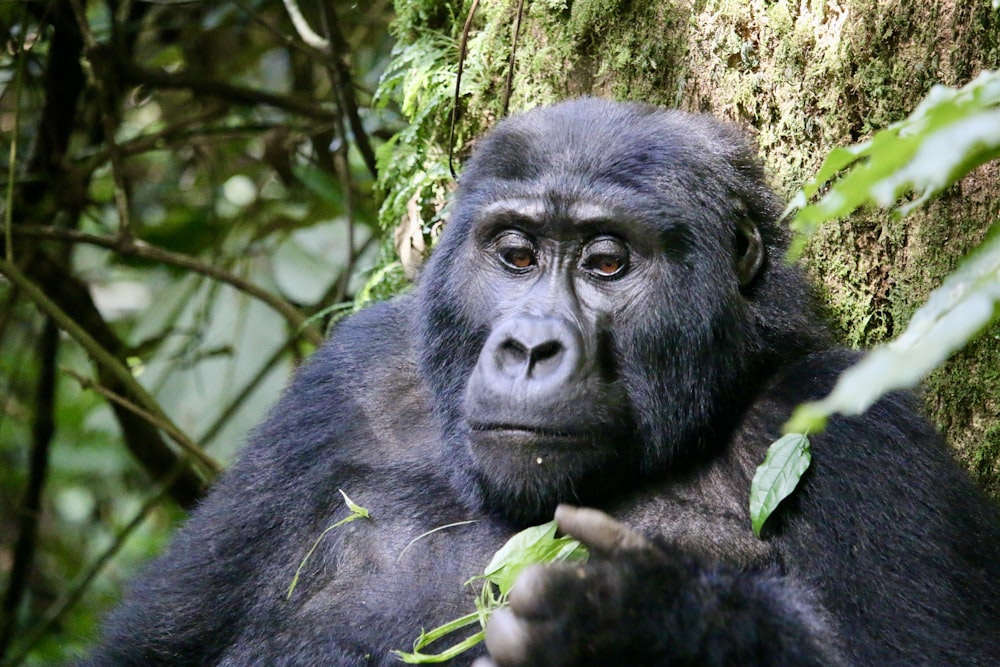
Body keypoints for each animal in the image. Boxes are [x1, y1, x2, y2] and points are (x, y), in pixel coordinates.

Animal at [86, 100, 1000, 667]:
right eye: (517, 254)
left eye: (606, 262)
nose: (530, 347)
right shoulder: (341, 387)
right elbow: (151, 650)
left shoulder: (858, 421)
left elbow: (919, 650)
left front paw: (641, 622)